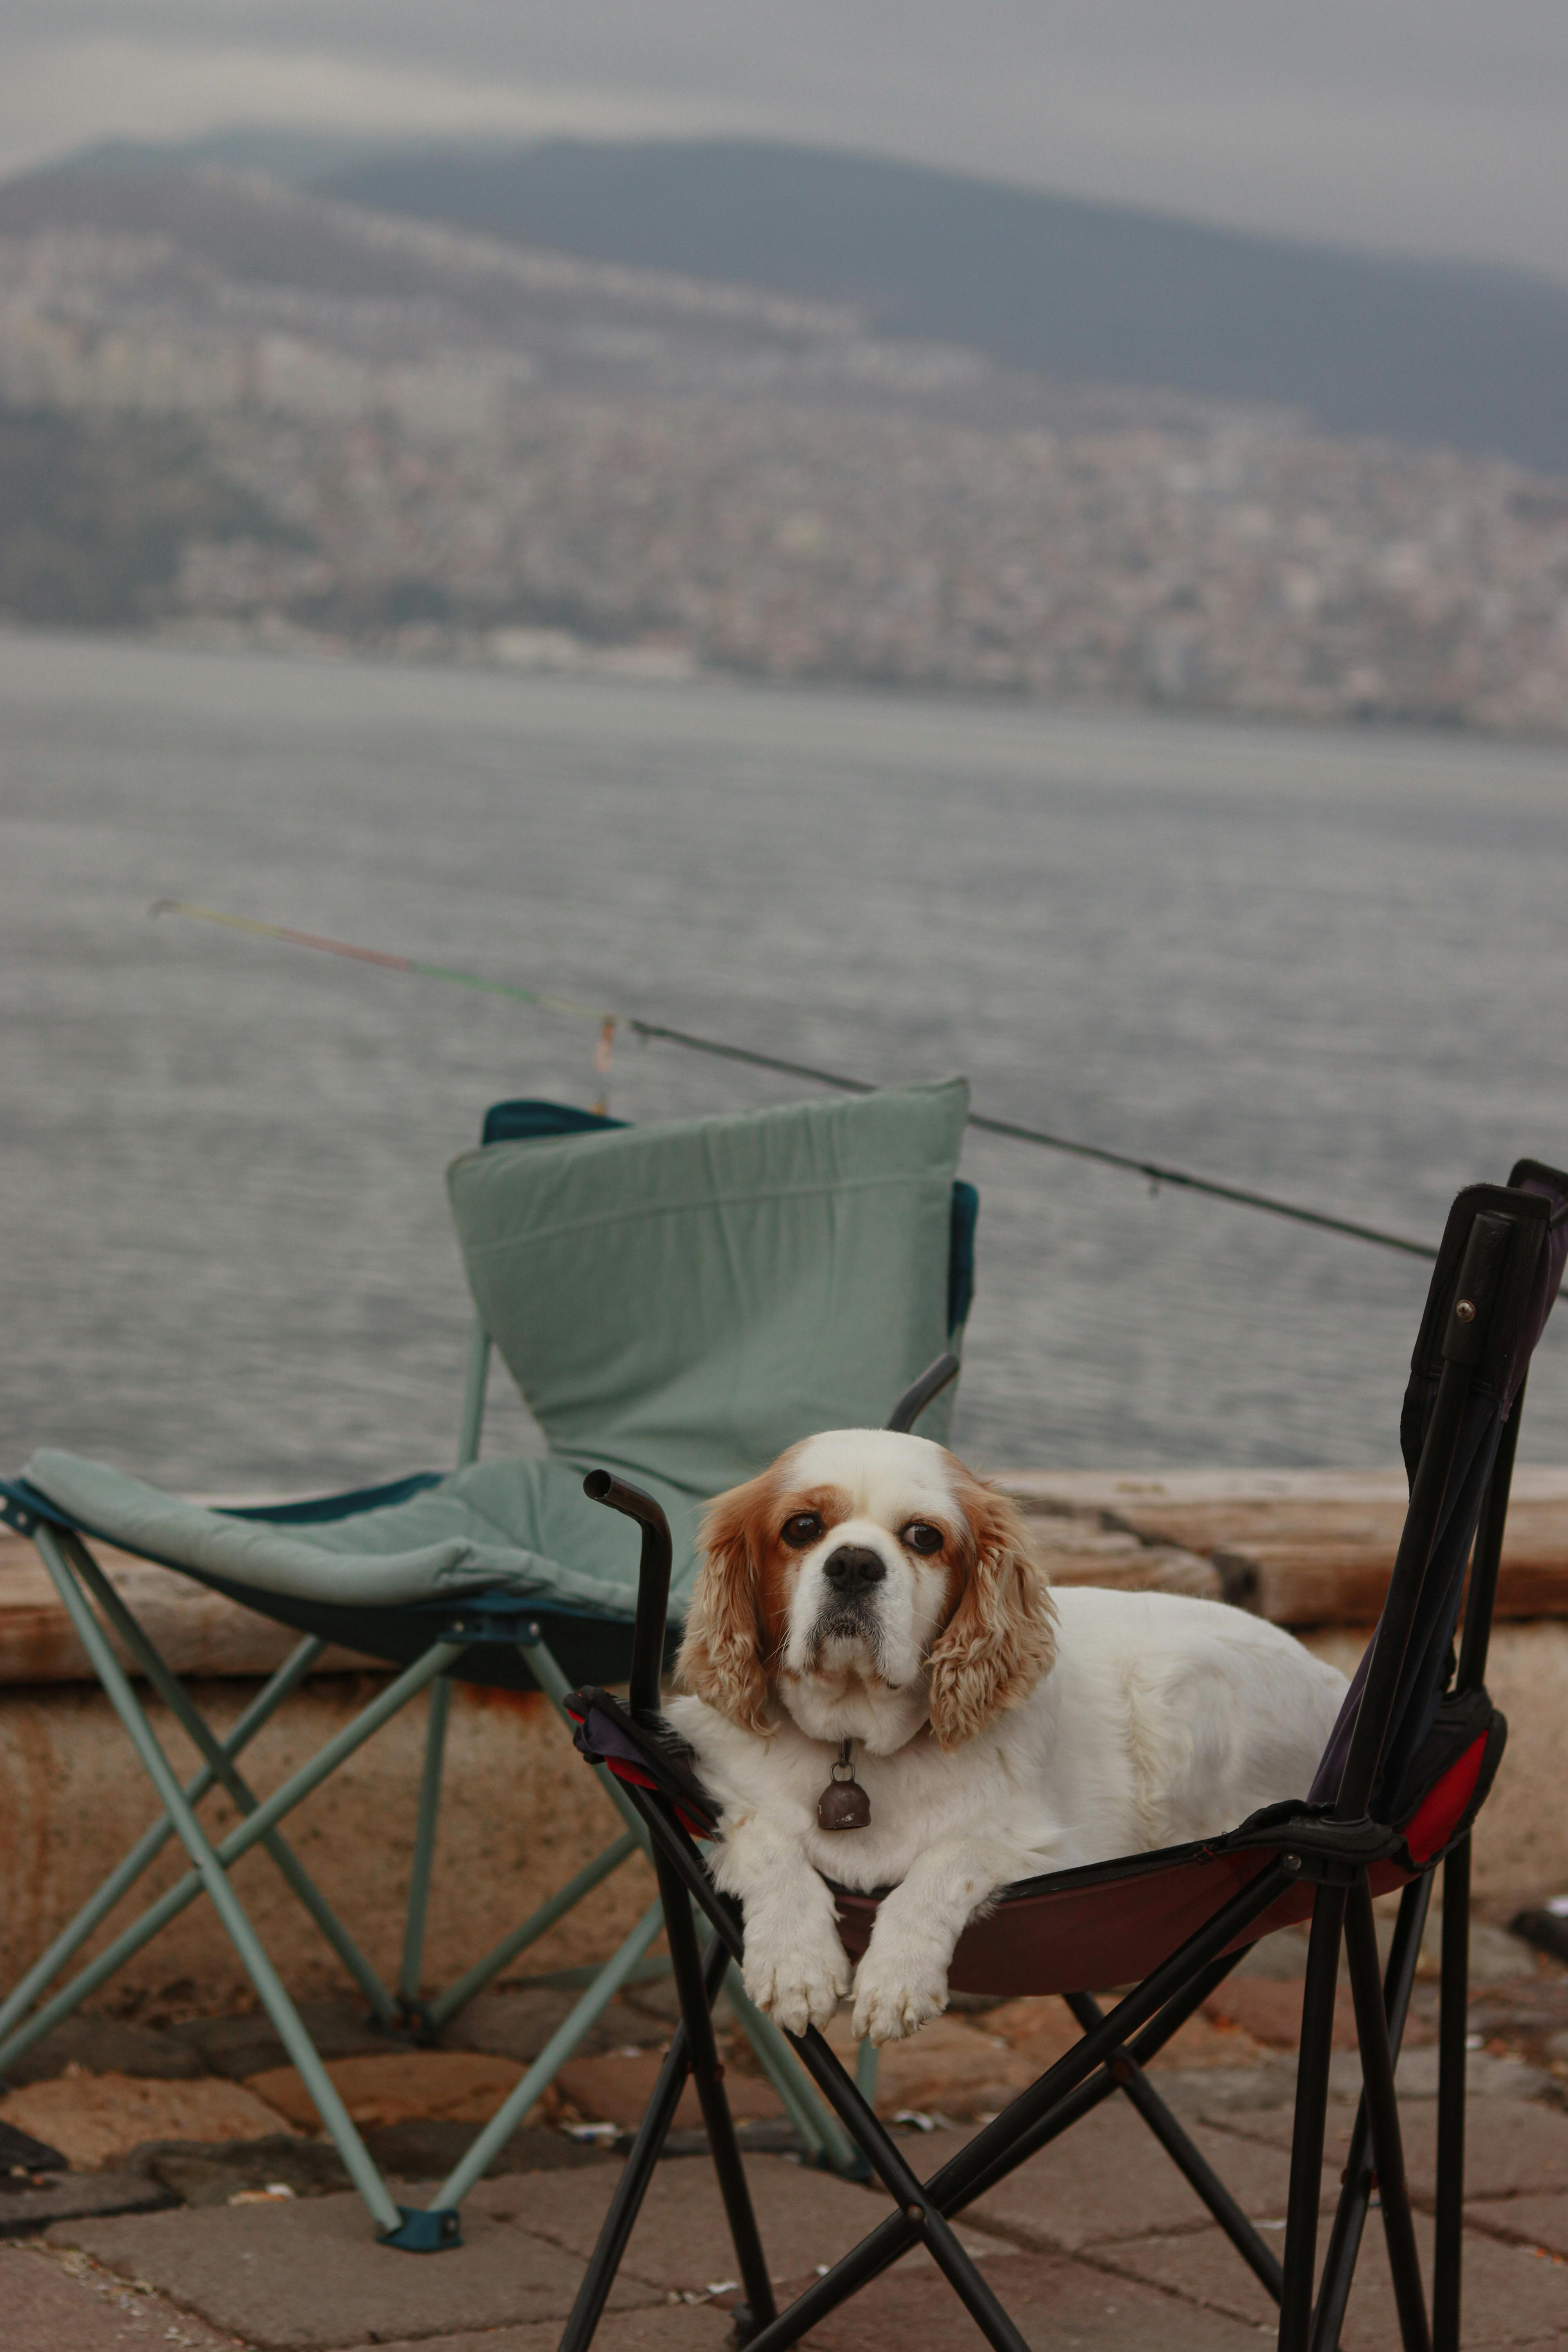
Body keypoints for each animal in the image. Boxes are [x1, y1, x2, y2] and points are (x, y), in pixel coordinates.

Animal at [663, 1421, 1354, 2051]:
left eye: (924, 1537)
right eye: (802, 1528)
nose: (855, 1564)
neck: (854, 1743)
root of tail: (1335, 1681)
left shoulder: (1057, 1853)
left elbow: (950, 1859)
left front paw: (896, 1977)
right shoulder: (721, 1792)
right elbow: (766, 1839)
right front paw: (795, 1961)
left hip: (1180, 1687)